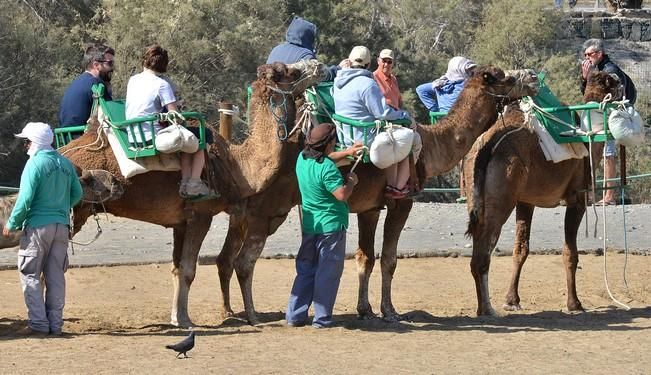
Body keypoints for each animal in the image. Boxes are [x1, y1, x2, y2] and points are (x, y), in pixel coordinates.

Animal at [0, 60, 324, 328]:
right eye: (287, 72)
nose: (317, 65)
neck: (236, 165)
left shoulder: (180, 222)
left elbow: (177, 269)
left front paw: (177, 317)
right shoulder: (201, 215)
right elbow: (190, 270)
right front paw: (186, 322)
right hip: (73, 209)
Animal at [214, 66, 540, 324]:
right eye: (504, 77)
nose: (533, 78)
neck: (431, 147)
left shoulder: (369, 207)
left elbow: (365, 258)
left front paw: (365, 309)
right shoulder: (401, 200)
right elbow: (389, 259)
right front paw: (390, 311)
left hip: (243, 214)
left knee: (226, 258)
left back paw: (230, 311)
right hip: (267, 211)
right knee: (244, 261)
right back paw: (252, 316)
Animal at [464, 71, 628, 318]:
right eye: (615, 81)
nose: (627, 89)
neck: (588, 142)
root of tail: (486, 146)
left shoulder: (525, 201)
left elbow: (520, 249)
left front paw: (512, 300)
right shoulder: (577, 198)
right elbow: (570, 253)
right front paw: (575, 303)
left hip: (476, 196)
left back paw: (485, 307)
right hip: (501, 200)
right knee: (482, 255)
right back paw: (486, 309)